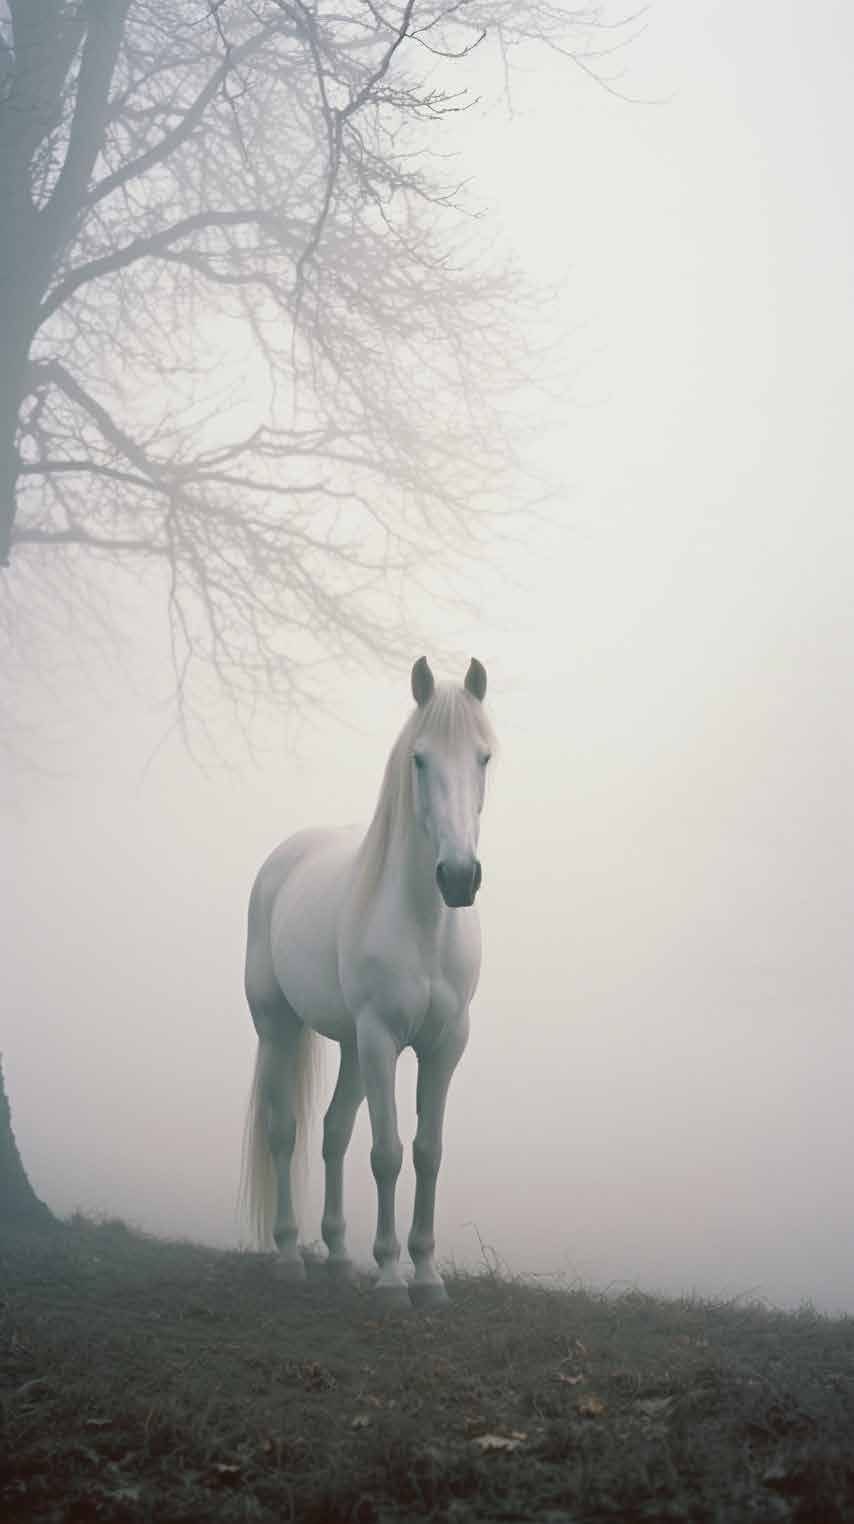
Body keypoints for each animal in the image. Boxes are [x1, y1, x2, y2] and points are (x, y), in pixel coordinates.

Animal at [241, 656, 495, 1306]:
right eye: (420, 759)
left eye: (483, 757)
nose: (459, 877)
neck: (423, 925)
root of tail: (284, 859)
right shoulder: (382, 1039)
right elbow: (387, 1153)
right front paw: (389, 1279)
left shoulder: (445, 1046)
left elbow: (427, 1152)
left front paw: (426, 1275)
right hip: (280, 1030)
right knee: (286, 1133)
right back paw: (290, 1256)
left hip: (353, 1050)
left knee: (333, 1133)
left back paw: (337, 1257)